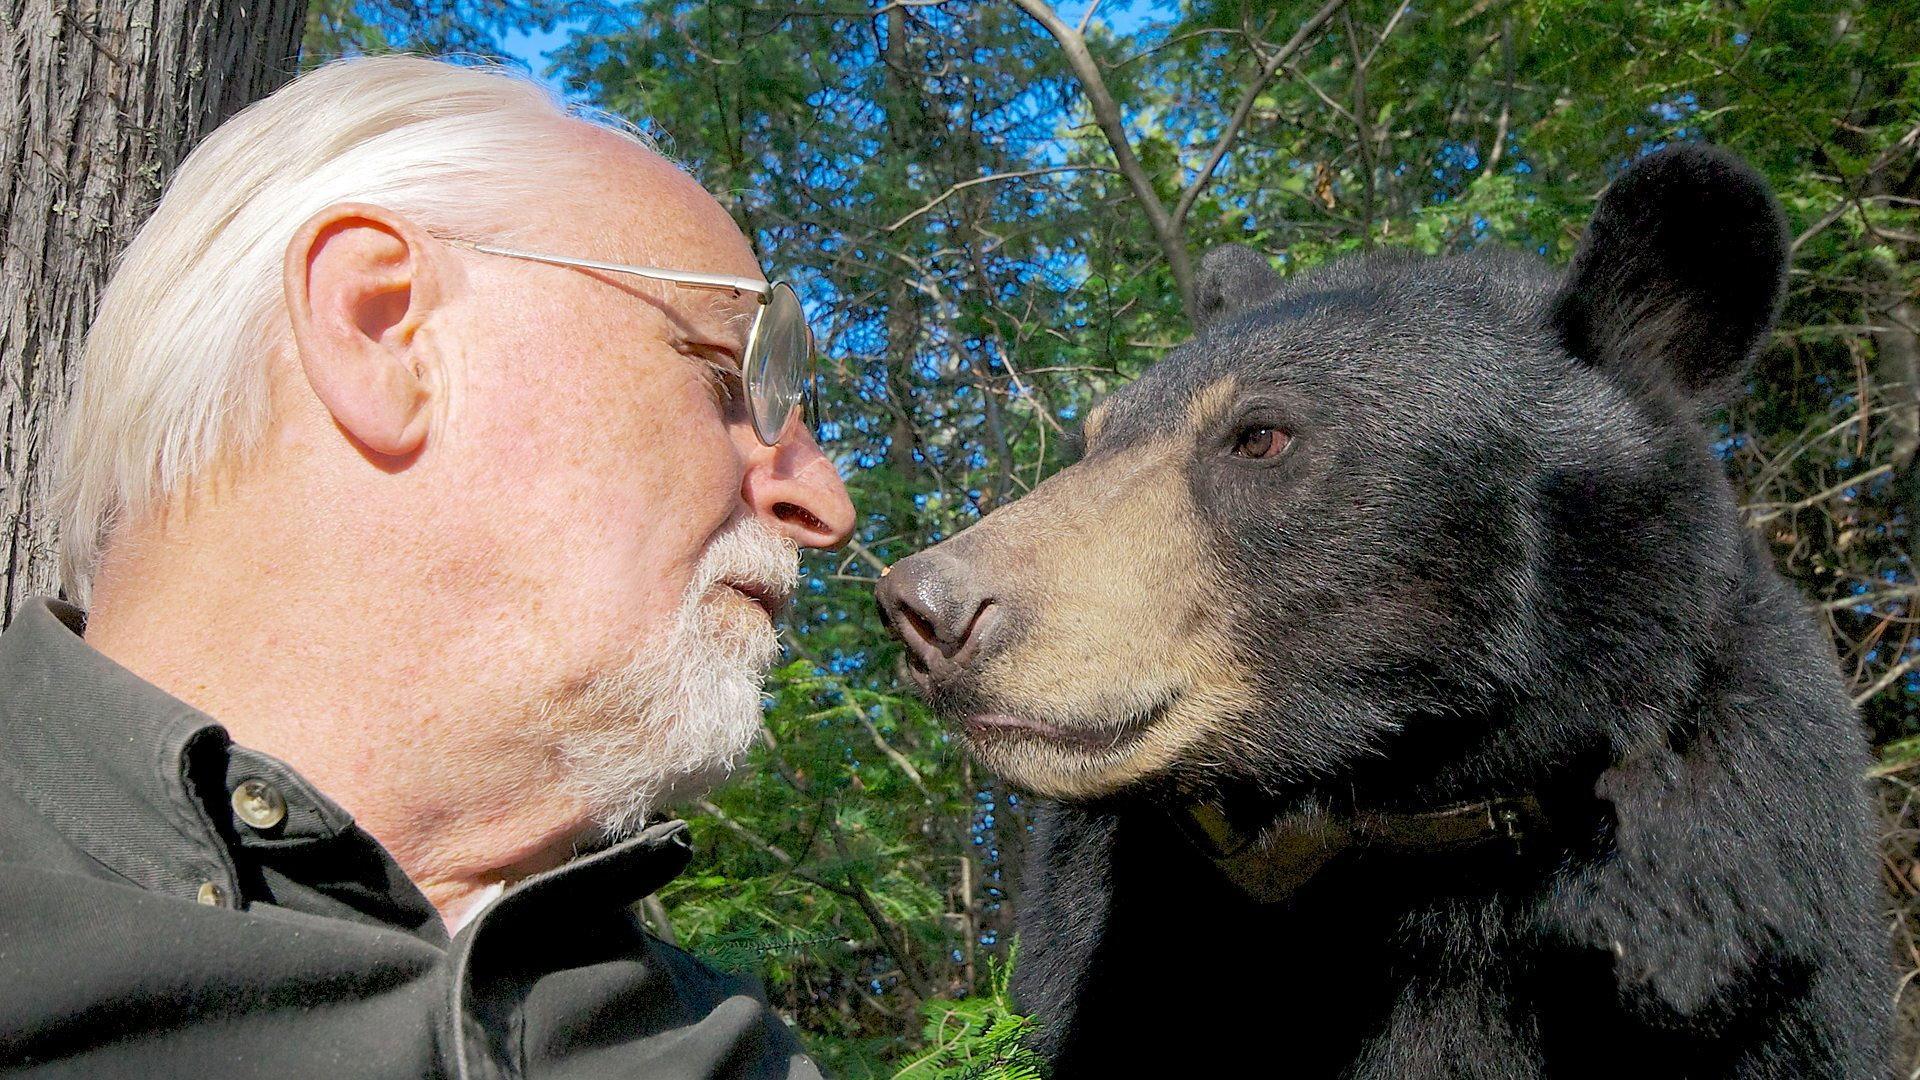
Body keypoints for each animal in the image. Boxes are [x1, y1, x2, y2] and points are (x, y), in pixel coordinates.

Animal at [875, 144, 1890, 1077]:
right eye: (1090, 440)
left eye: (1260, 436)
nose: (925, 606)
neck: (1402, 811)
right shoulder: (1113, 926)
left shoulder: (1725, 911)